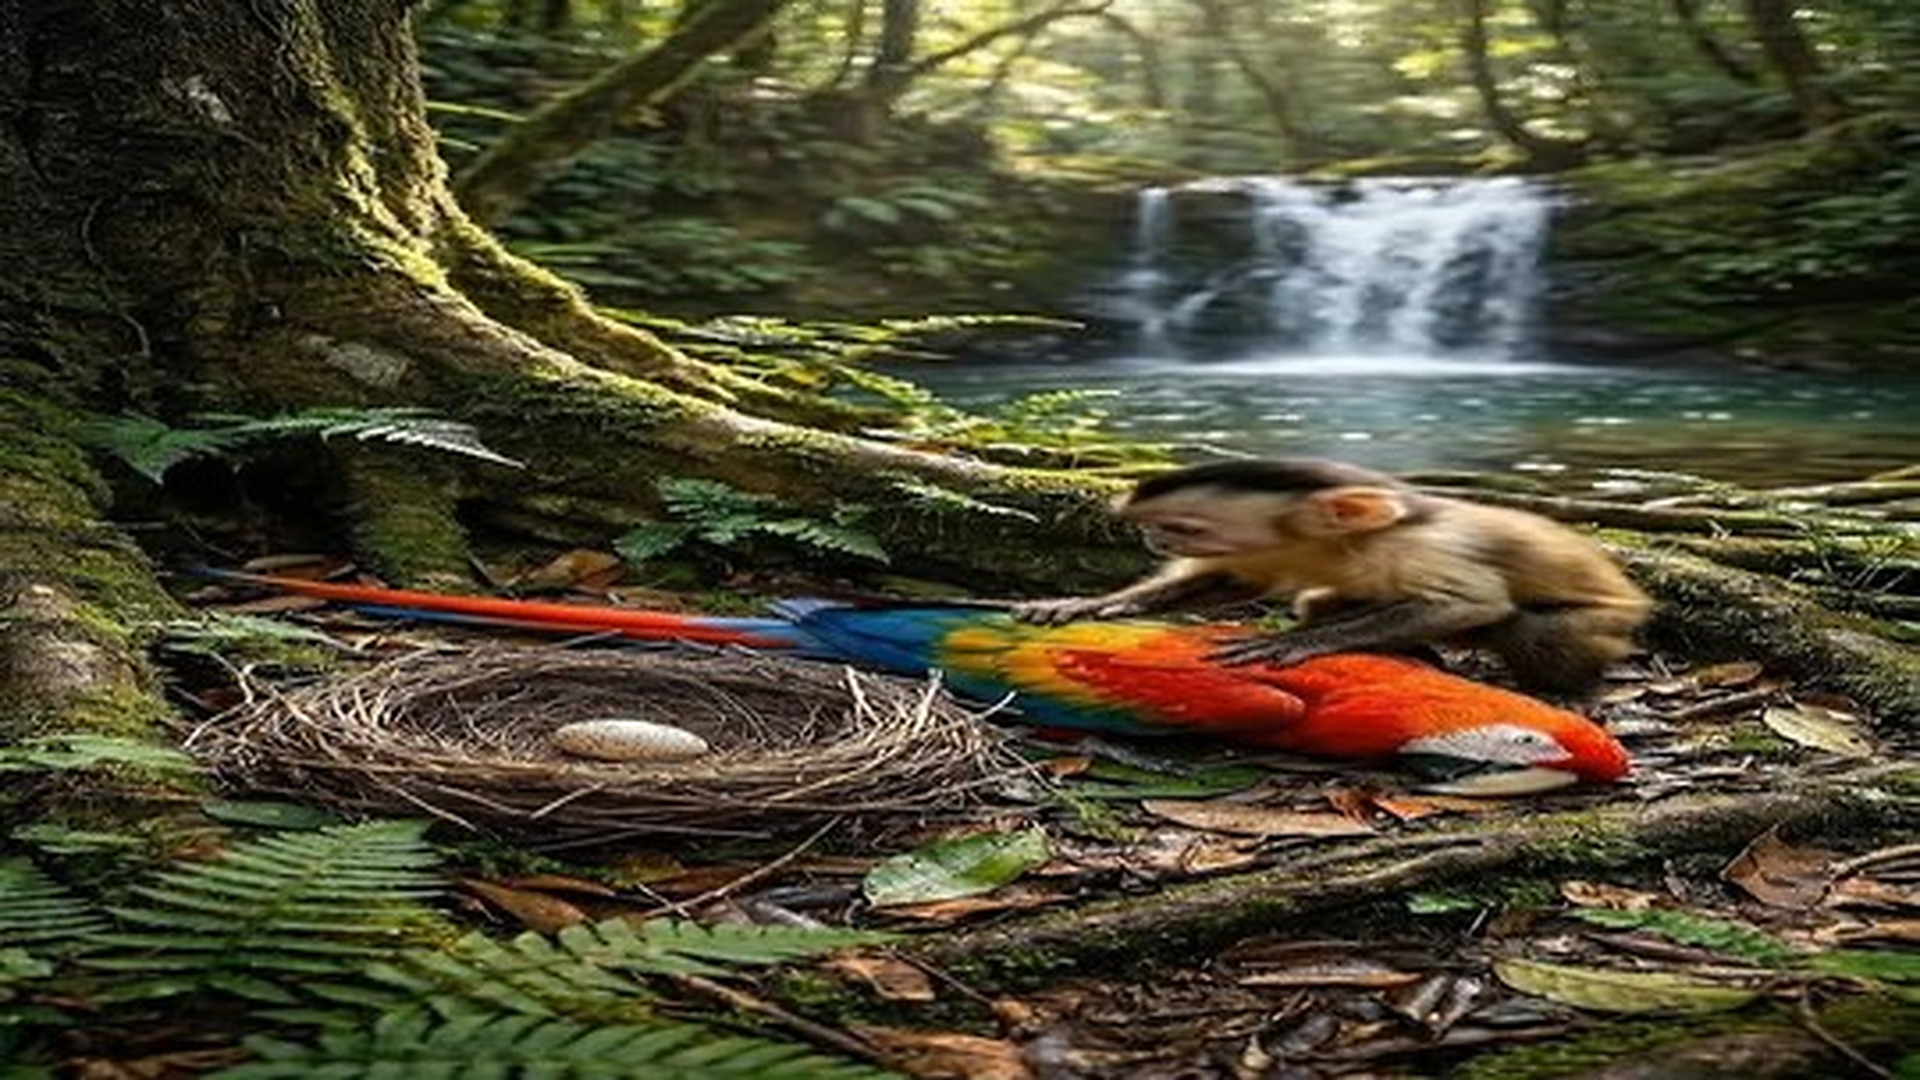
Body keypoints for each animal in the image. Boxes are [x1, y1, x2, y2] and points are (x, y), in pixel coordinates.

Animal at [1014, 458, 1652, 696]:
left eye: (1182, 526)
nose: (1152, 539)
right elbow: (1233, 583)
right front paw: (1090, 603)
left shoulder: (1418, 541)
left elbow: (1470, 603)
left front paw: (1298, 643)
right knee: (1322, 598)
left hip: (1607, 620)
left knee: (1534, 631)